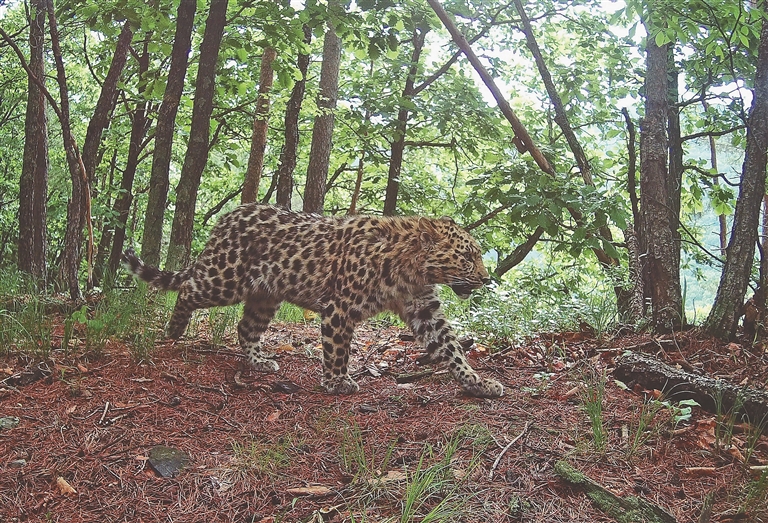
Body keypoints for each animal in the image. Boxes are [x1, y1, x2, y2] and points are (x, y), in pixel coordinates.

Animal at [124, 203, 508, 400]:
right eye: (468, 257)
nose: (485, 278)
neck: (414, 270)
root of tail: (228, 216)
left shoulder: (424, 309)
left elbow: (453, 348)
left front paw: (477, 382)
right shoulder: (340, 306)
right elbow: (338, 348)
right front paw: (337, 381)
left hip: (266, 294)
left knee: (246, 327)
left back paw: (259, 362)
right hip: (225, 278)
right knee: (188, 288)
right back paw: (175, 330)